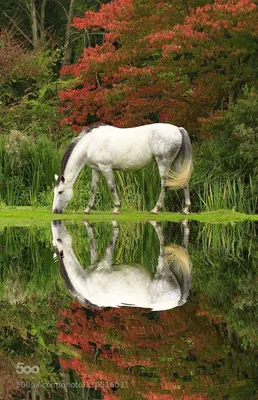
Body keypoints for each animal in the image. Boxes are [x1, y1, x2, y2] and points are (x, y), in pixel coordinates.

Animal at [51, 220, 191, 310]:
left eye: (57, 239)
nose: (56, 223)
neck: (87, 284)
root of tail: (177, 301)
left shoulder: (104, 263)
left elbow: (111, 242)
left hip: (163, 269)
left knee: (162, 241)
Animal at [52, 122, 191, 214]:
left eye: (60, 192)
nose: (54, 211)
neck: (90, 144)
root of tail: (178, 129)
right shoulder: (96, 169)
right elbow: (93, 188)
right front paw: (88, 209)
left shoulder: (106, 168)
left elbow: (112, 187)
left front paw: (116, 208)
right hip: (175, 164)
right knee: (184, 183)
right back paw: (186, 209)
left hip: (164, 162)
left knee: (164, 184)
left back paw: (156, 209)